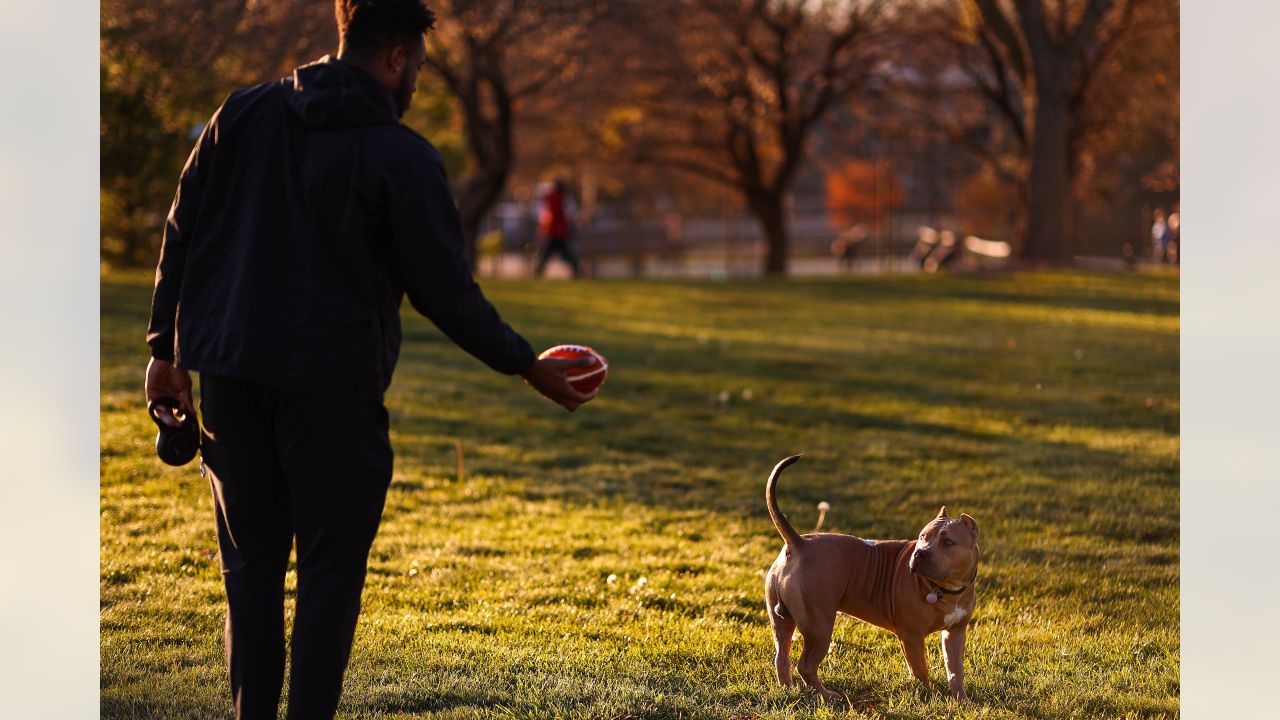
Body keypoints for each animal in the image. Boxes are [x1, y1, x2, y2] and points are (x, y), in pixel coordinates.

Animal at [757, 456, 977, 696]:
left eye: (948, 542)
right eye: (922, 537)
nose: (920, 553)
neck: (948, 589)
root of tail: (798, 543)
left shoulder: (955, 633)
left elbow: (955, 670)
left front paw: (960, 698)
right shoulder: (912, 636)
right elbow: (920, 670)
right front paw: (927, 695)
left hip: (782, 622)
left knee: (781, 657)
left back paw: (788, 689)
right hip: (819, 627)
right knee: (805, 666)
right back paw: (826, 695)